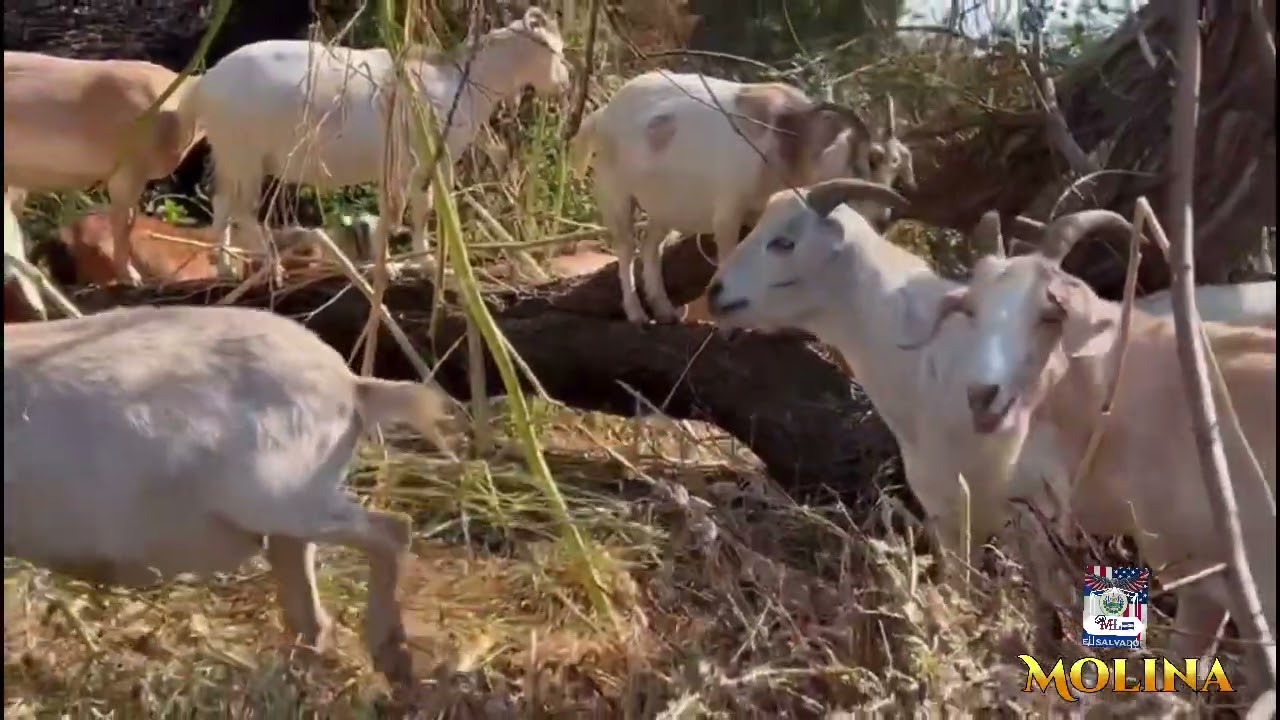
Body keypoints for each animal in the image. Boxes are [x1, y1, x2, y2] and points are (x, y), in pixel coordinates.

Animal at [3, 304, 454, 683]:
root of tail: (351, 384)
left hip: (279, 494)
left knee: (392, 529)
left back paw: (390, 658)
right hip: (291, 508)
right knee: (308, 605)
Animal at [176, 8, 570, 281]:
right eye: (553, 49)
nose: (565, 82)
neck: (461, 84)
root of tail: (204, 84)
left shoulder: (402, 166)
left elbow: (402, 210)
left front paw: (406, 265)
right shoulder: (424, 162)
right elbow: (414, 211)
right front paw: (410, 265)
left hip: (229, 152)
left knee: (223, 204)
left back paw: (226, 268)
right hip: (245, 152)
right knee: (242, 209)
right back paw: (271, 265)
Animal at [568, 72, 916, 324]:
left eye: (896, 167)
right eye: (868, 160)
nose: (884, 218)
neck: (787, 141)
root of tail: (602, 115)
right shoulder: (729, 212)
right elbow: (727, 256)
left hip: (666, 207)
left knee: (651, 245)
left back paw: (665, 311)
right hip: (615, 191)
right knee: (626, 247)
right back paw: (637, 314)